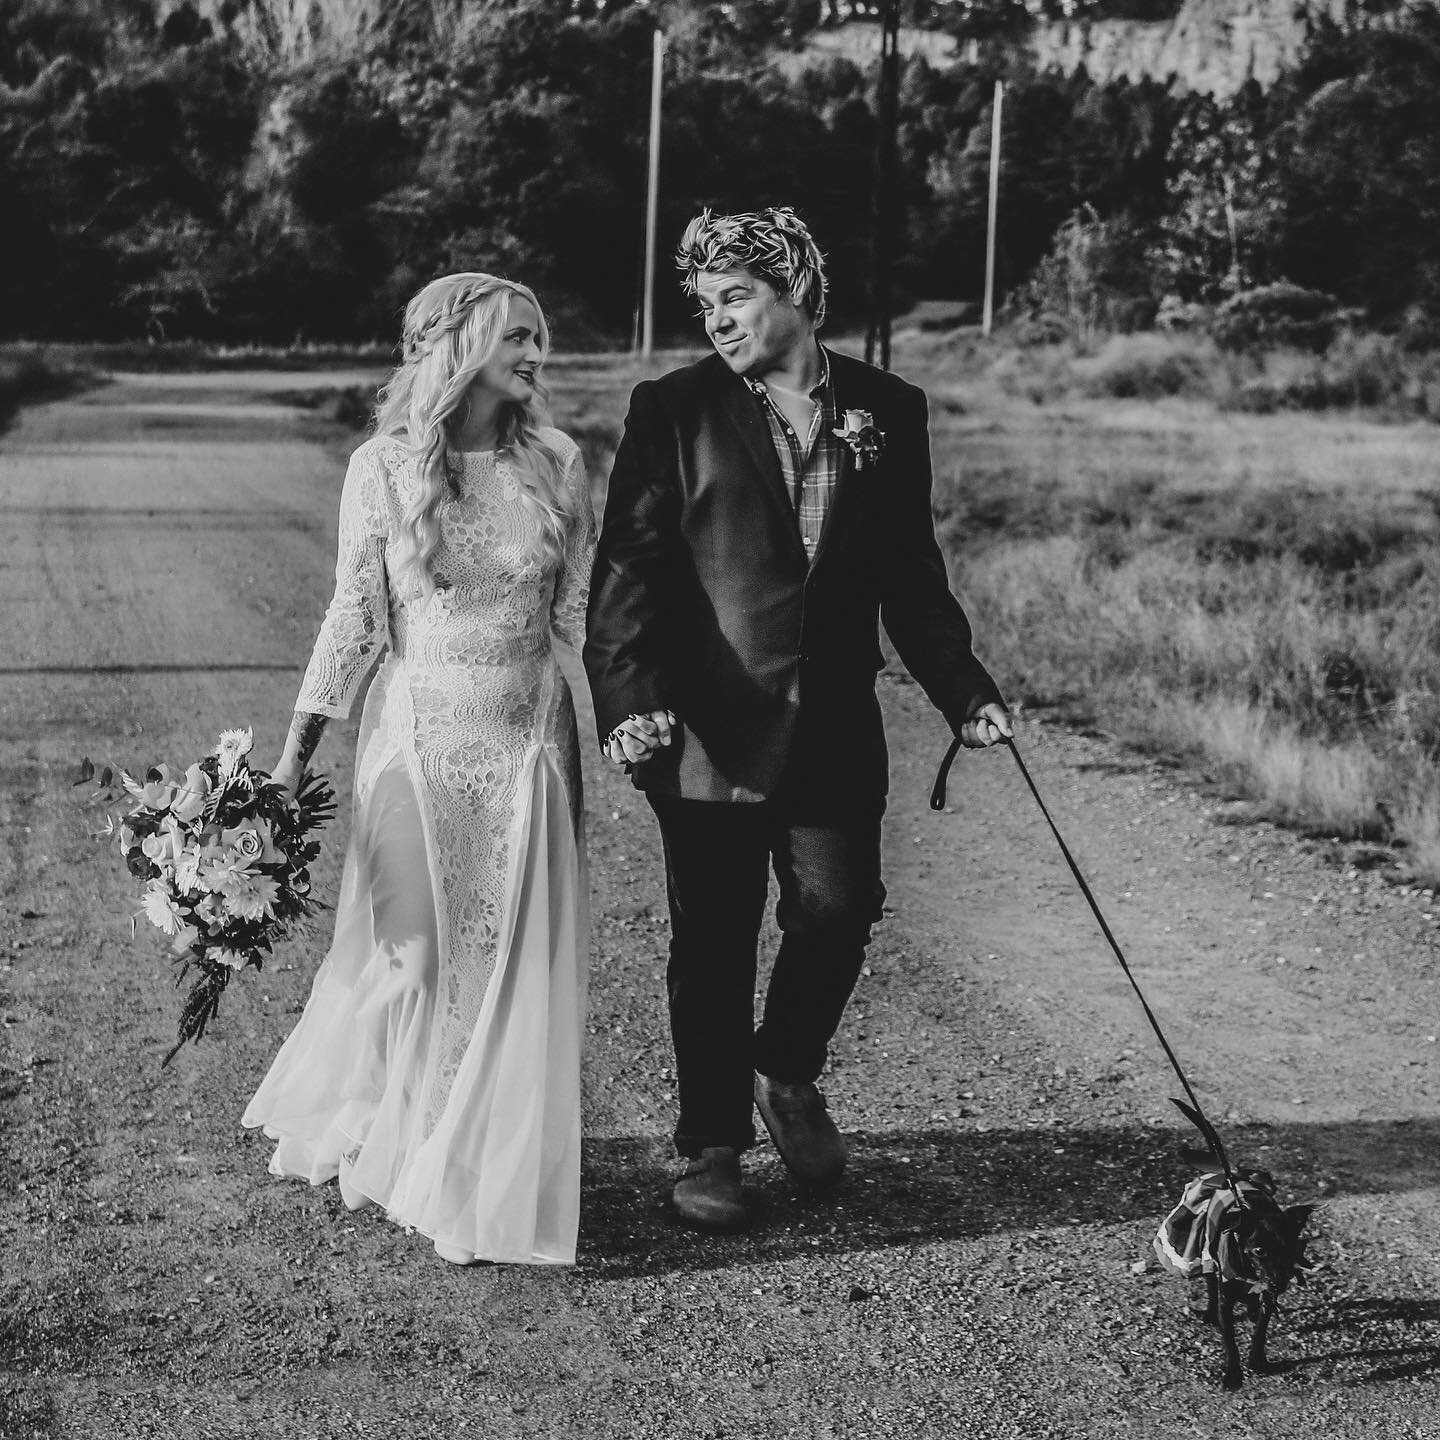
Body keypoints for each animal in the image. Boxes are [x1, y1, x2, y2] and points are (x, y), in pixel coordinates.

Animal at [1157, 1175, 1319, 1388]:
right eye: (1259, 1250)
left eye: (1292, 1248)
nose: (1279, 1284)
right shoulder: (1226, 1303)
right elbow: (1230, 1342)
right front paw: (1233, 1374)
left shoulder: (1267, 1298)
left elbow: (1260, 1331)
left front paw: (1257, 1361)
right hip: (1207, 1254)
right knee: (1211, 1284)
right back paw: (1210, 1313)